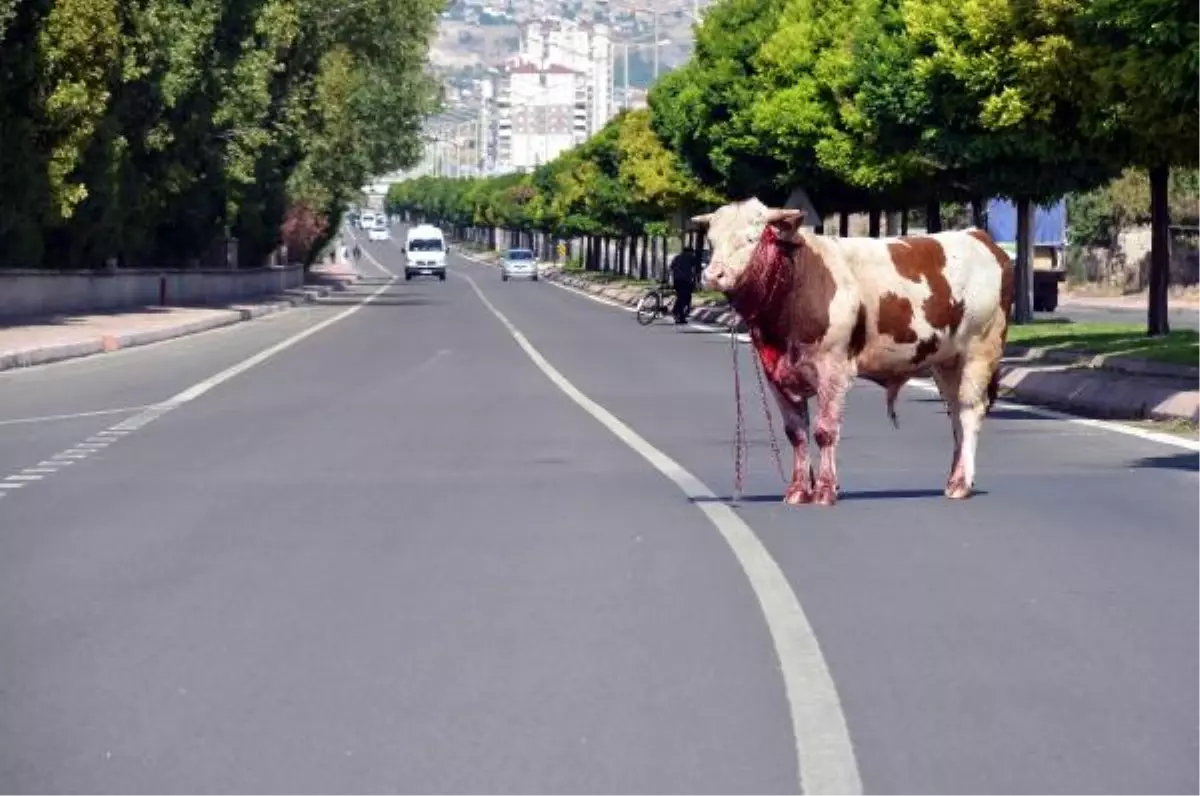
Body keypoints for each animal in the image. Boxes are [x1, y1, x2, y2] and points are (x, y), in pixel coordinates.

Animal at [696, 198, 1012, 504]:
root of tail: (979, 236)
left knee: (970, 410)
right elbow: (796, 433)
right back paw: (954, 479)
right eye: (711, 240)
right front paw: (798, 491)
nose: (712, 275)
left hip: (979, 350)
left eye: (751, 239)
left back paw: (961, 484)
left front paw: (825, 490)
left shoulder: (833, 368)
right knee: (955, 412)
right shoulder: (777, 374)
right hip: (946, 362)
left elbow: (824, 430)